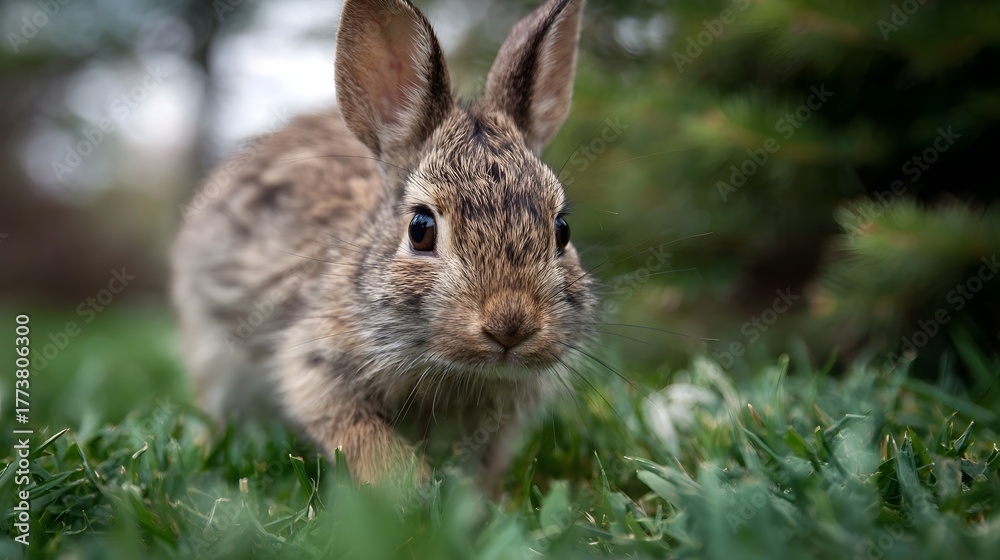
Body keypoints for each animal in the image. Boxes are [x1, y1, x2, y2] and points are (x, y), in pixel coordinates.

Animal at [171, 0, 595, 491]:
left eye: (561, 230)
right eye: (420, 229)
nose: (511, 325)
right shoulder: (314, 363)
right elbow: (357, 432)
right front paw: (405, 488)